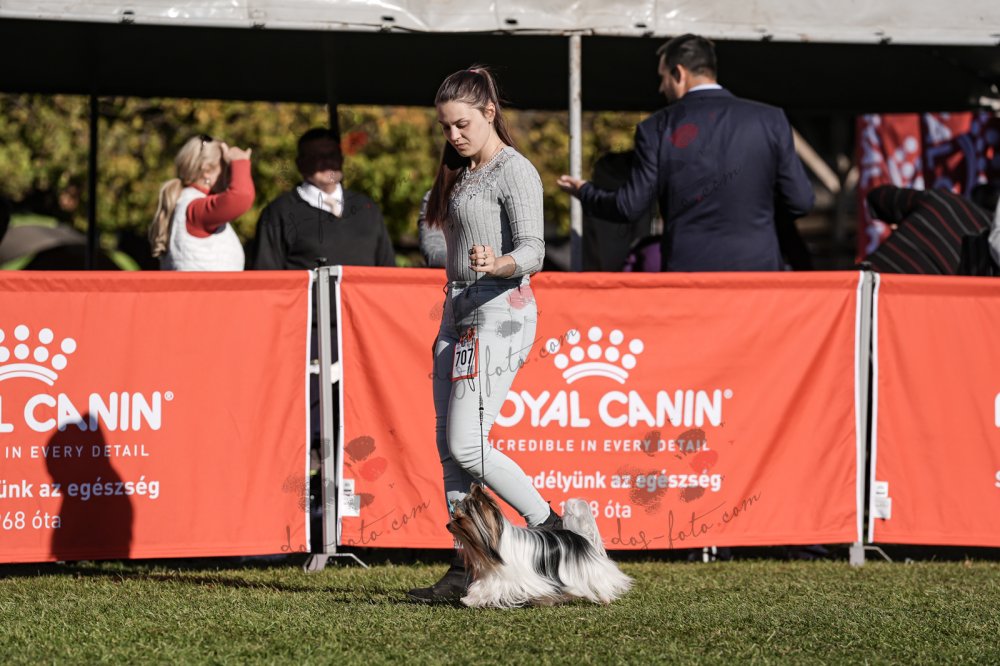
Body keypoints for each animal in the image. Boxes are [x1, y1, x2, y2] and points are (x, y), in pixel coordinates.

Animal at [447, 484, 632, 608]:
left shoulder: (505, 577)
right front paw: (470, 599)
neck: (497, 540)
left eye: (460, 520)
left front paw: (469, 600)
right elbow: (481, 586)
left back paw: (606, 598)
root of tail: (580, 536)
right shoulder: (492, 574)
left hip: (589, 568)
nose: (448, 525)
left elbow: (489, 588)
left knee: (604, 579)